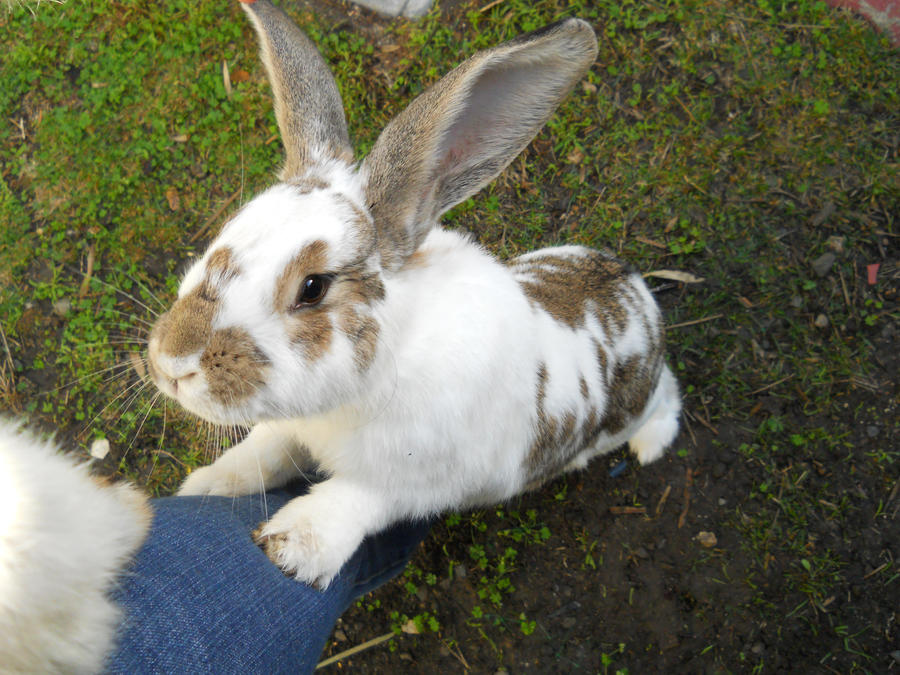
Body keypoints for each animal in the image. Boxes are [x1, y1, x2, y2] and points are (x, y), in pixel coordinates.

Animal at [146, 0, 681, 589]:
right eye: (228, 231)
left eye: (313, 287)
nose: (171, 363)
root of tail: (635, 287)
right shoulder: (293, 429)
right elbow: (262, 452)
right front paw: (207, 486)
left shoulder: (410, 480)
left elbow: (351, 502)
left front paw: (290, 546)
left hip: (639, 404)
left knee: (669, 398)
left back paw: (652, 444)